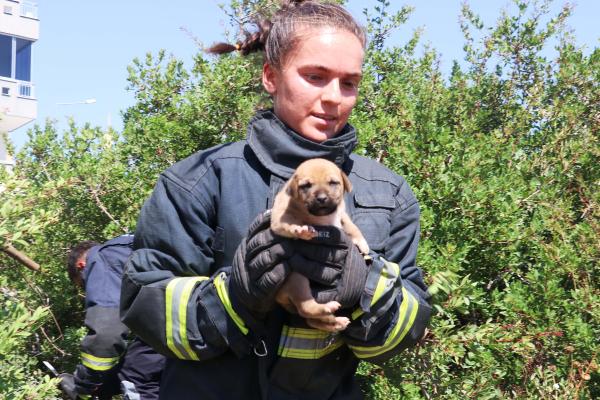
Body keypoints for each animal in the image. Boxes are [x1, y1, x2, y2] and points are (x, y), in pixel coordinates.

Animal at [272, 159, 370, 332]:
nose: (322, 198)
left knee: (312, 320)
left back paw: (336, 321)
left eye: (333, 183)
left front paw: (362, 243)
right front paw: (300, 230)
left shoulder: (341, 214)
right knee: (306, 308)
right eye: (306, 186)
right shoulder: (279, 216)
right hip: (297, 279)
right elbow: (288, 223)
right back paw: (327, 308)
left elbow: (351, 226)